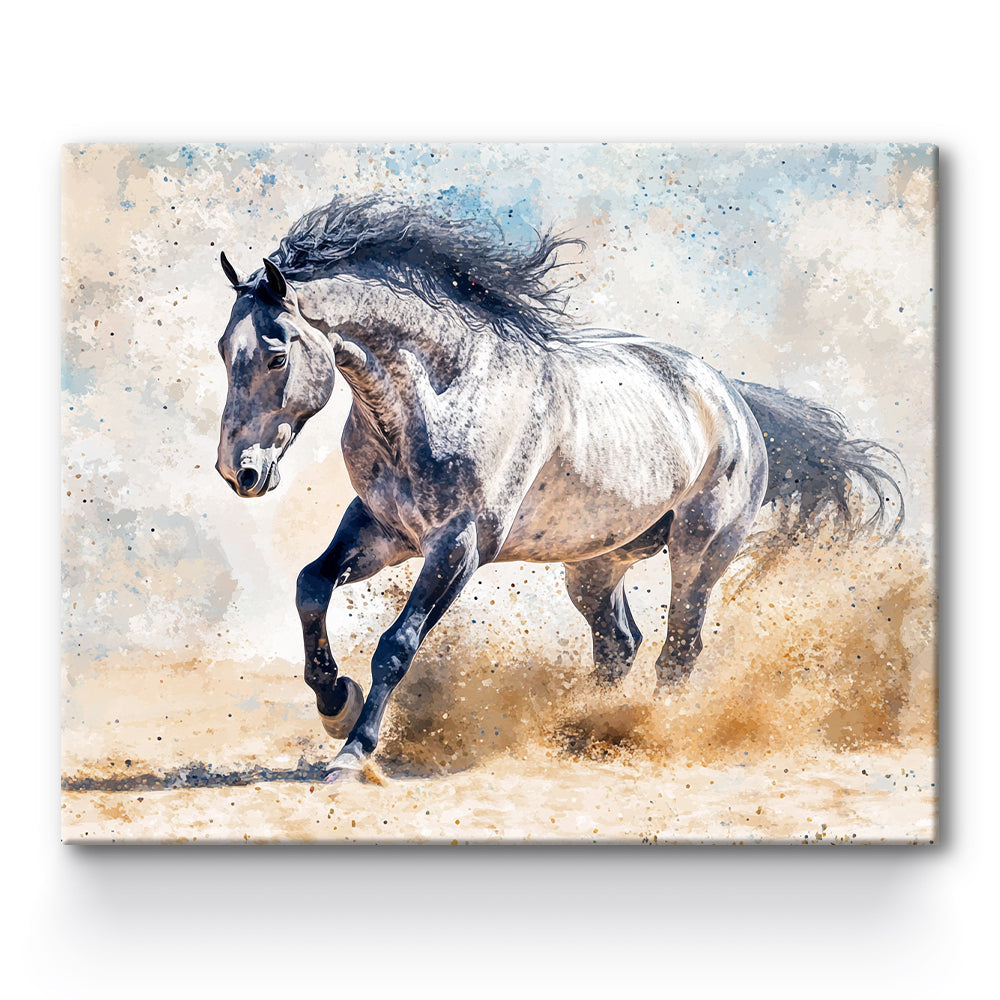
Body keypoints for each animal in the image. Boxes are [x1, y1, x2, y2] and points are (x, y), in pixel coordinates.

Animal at [215, 194, 904, 780]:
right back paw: (583, 729)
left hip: (701, 548)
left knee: (679, 647)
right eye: (225, 349)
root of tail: (731, 395)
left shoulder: (459, 546)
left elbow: (397, 643)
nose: (238, 473)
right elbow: (311, 586)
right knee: (619, 643)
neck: (444, 390)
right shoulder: (383, 529)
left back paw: (651, 733)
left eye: (277, 355)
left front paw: (352, 753)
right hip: (596, 564)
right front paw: (334, 701)